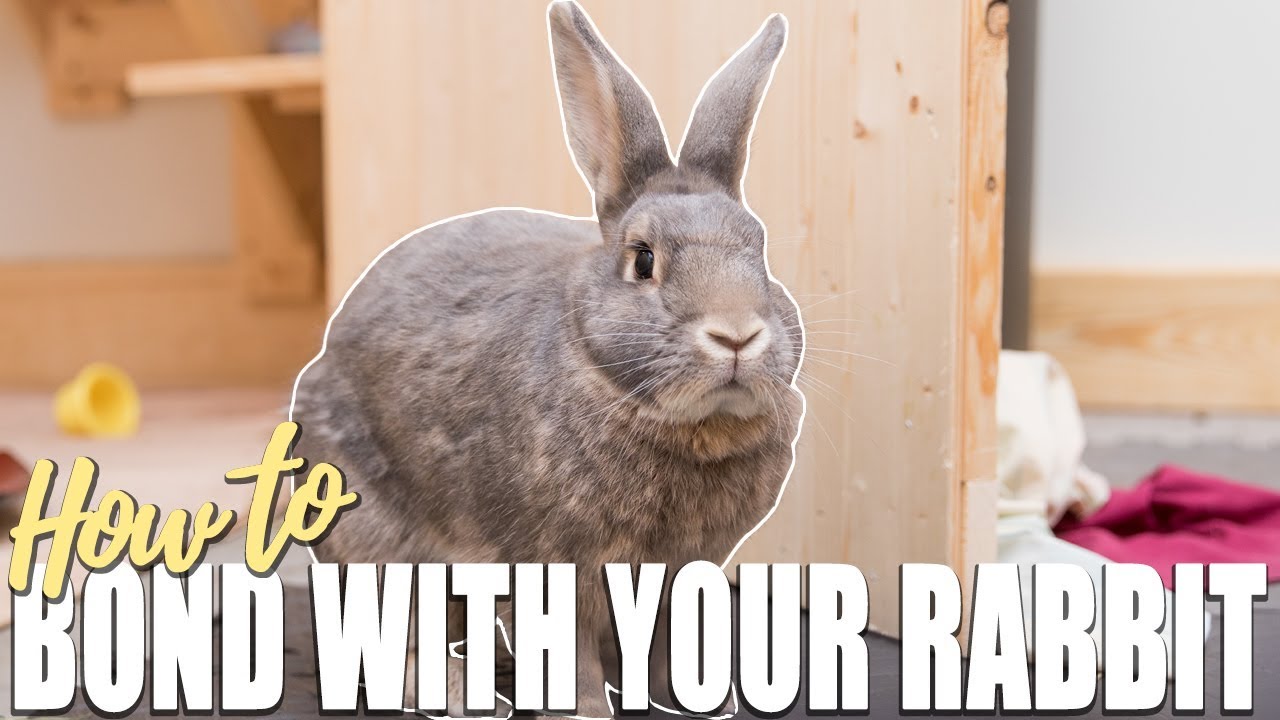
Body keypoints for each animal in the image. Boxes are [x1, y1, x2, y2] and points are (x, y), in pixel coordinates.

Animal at [292, 1, 802, 716]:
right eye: (643, 259)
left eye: (760, 251)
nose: (736, 335)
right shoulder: (553, 569)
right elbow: (577, 662)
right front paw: (586, 710)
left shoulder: (679, 575)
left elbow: (666, 650)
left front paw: (697, 702)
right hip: (377, 536)